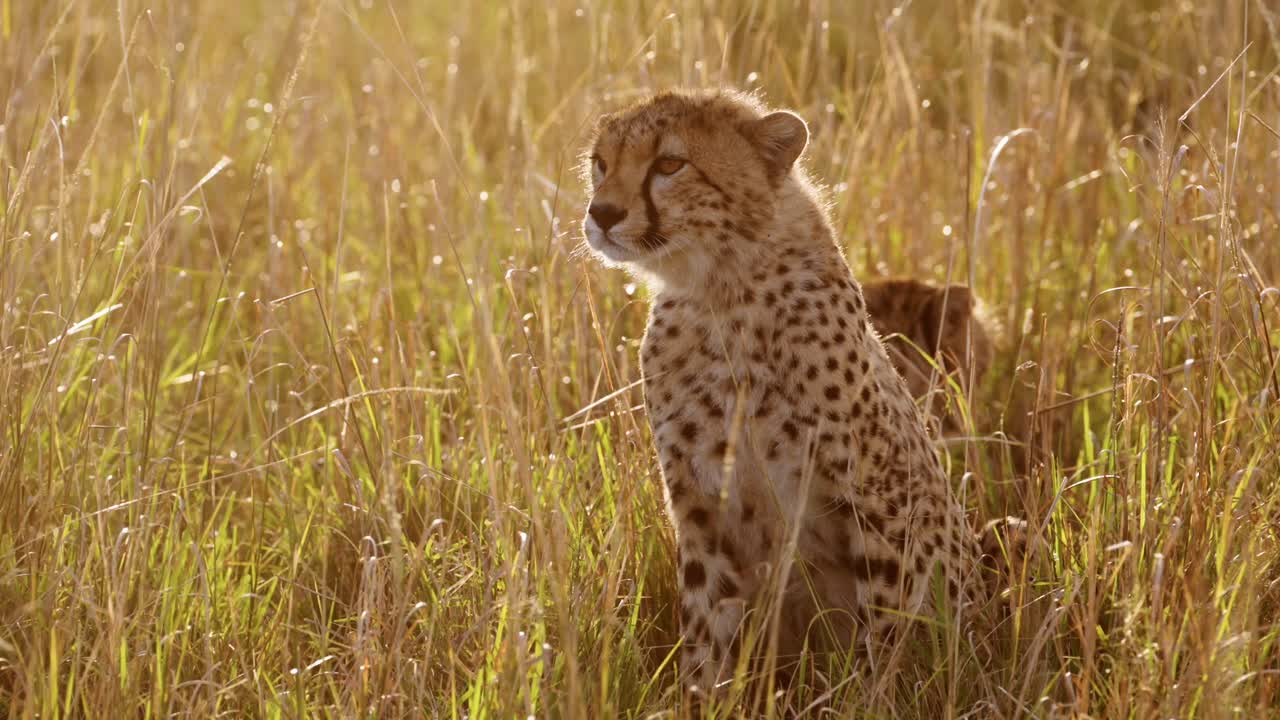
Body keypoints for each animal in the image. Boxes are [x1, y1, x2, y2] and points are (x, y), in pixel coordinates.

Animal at [580, 89, 1021, 696]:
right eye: (601, 163)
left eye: (669, 164)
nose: (601, 214)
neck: (721, 291)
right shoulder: (700, 507)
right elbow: (704, 623)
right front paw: (701, 696)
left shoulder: (882, 498)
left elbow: (886, 623)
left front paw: (869, 697)